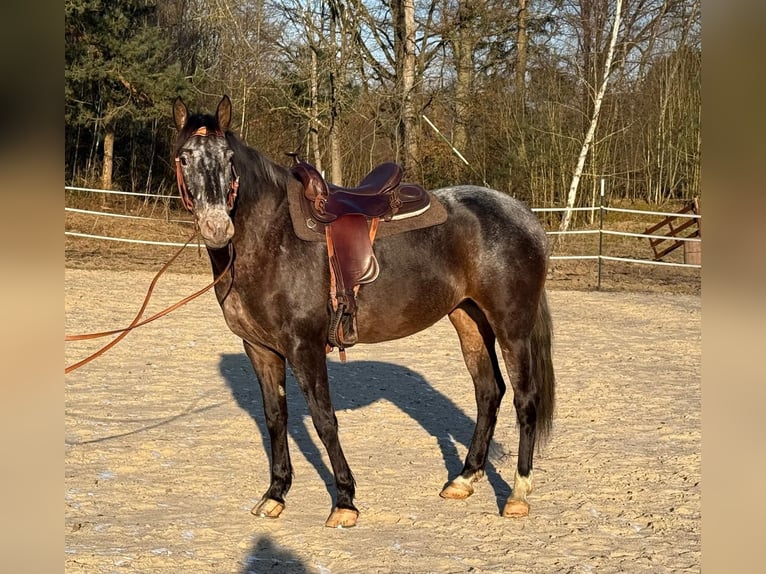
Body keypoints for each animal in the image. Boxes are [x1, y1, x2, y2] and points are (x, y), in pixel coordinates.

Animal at [172, 95, 560, 532]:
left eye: (228, 158)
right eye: (184, 158)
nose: (216, 228)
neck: (271, 237)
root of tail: (524, 216)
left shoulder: (304, 346)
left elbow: (324, 420)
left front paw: (345, 501)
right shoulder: (260, 349)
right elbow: (275, 418)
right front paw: (275, 495)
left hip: (512, 326)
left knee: (526, 398)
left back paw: (517, 495)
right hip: (469, 319)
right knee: (488, 391)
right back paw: (463, 479)